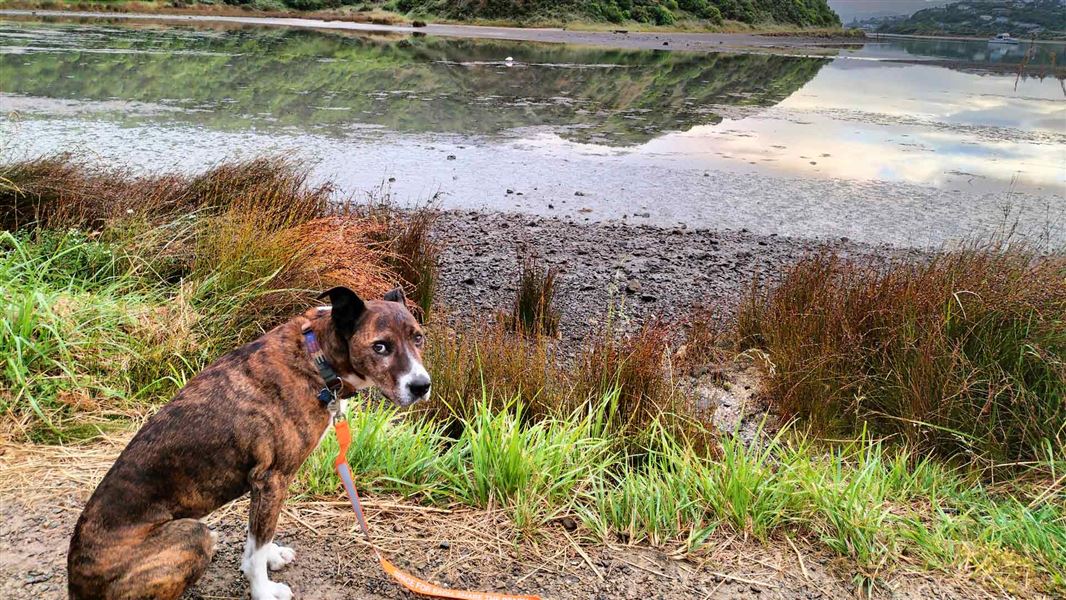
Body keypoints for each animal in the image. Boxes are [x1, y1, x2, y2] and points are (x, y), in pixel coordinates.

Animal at [67, 287, 428, 600]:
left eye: (418, 337)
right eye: (380, 346)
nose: (422, 385)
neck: (317, 357)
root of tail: (75, 585)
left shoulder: (265, 488)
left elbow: (258, 541)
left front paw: (270, 559)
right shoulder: (271, 480)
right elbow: (256, 547)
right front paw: (263, 590)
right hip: (194, 534)